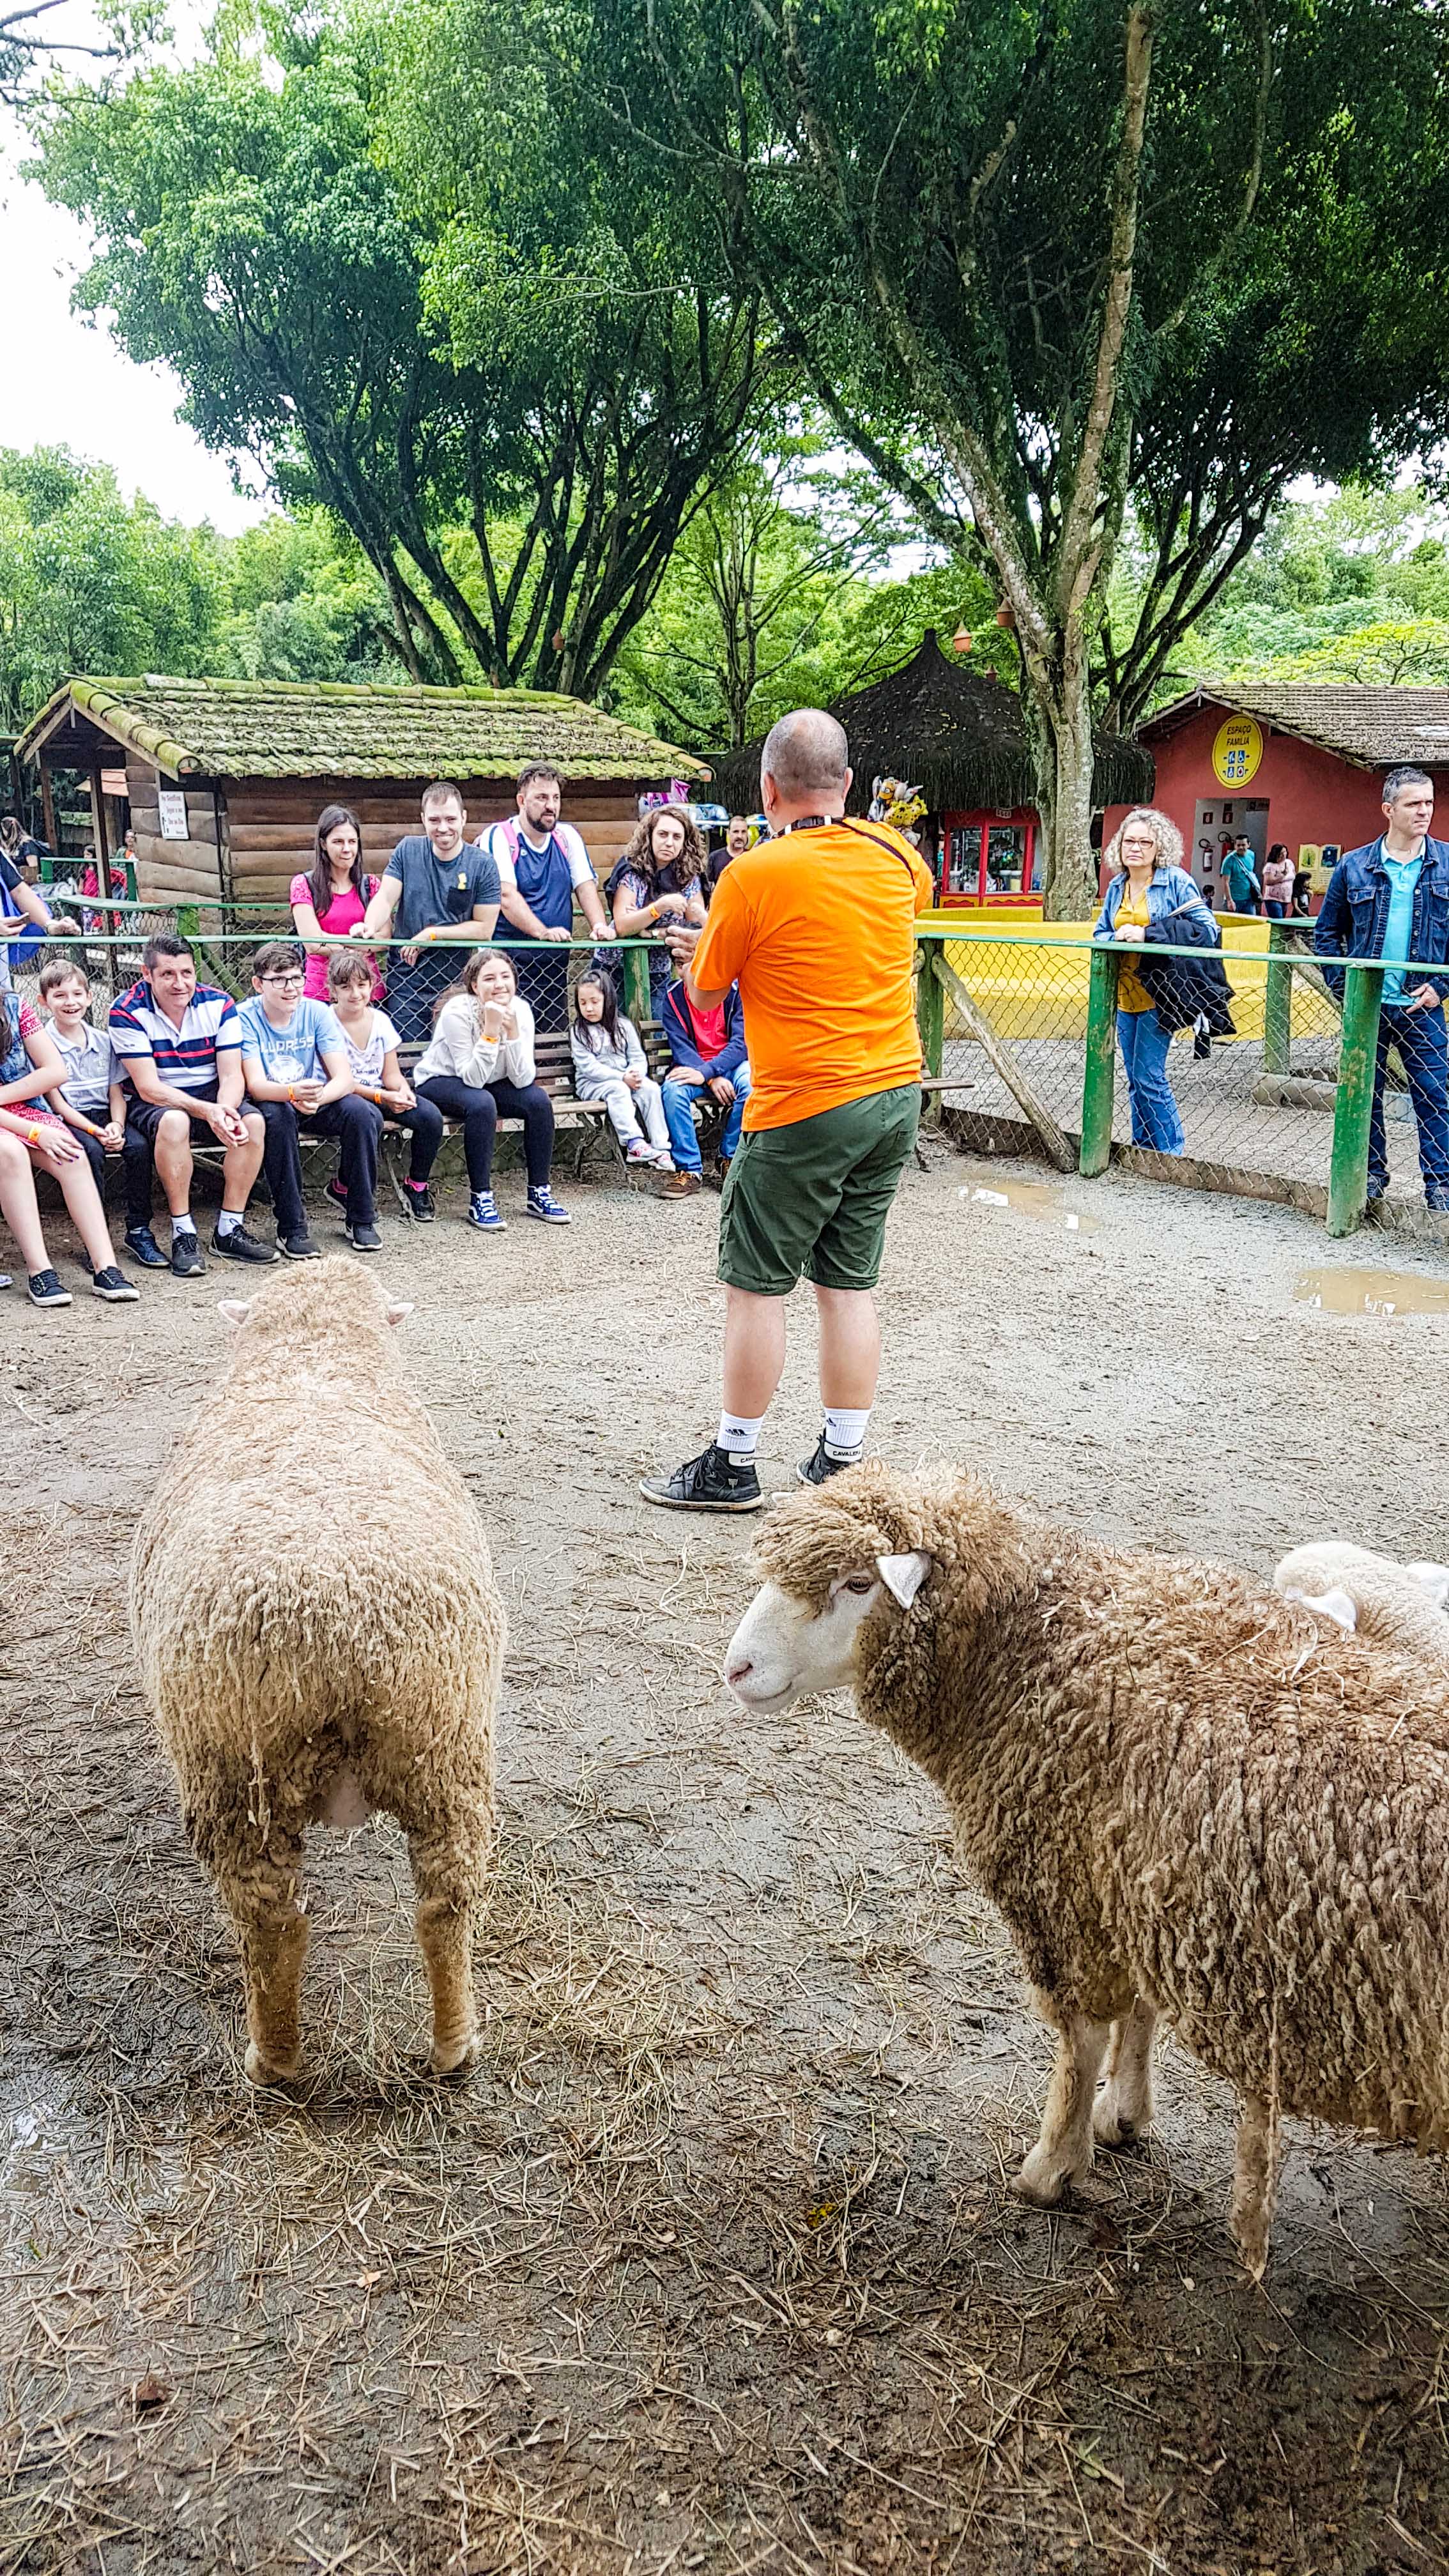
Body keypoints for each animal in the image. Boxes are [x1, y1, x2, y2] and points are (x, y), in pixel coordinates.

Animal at [130, 1255, 503, 2086]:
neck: (313, 1360)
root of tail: (338, 1622)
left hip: (234, 1774)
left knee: (271, 1922)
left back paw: (272, 2060)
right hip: (446, 1749)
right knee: (447, 1906)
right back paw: (454, 2046)